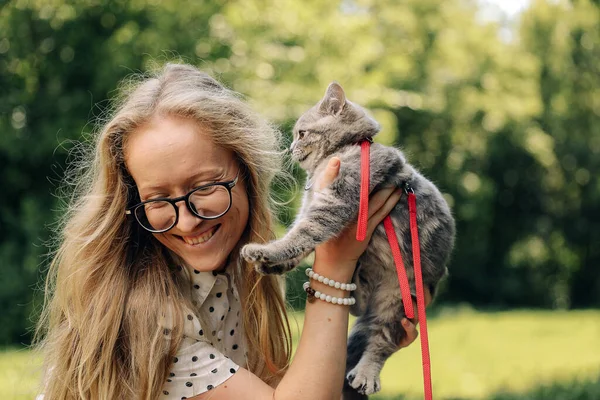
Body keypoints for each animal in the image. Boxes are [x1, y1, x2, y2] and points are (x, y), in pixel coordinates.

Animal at [239, 82, 454, 396]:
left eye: (301, 133)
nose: (290, 148)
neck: (343, 151)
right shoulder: (310, 204)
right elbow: (299, 237)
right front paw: (274, 263)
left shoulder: (336, 201)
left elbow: (304, 232)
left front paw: (267, 252)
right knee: (359, 310)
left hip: (399, 298)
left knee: (380, 341)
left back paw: (366, 374)